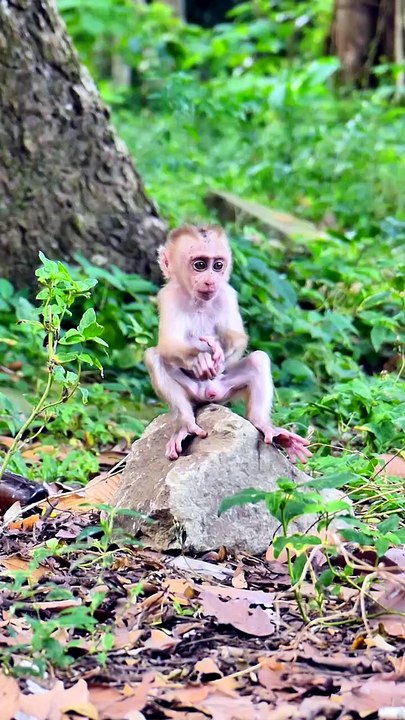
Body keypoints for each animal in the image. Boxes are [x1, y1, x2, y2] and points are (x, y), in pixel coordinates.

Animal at [144, 223, 312, 464]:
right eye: (200, 265)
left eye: (218, 265)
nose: (210, 280)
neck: (198, 302)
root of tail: (208, 393)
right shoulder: (167, 295)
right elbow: (167, 344)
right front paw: (199, 358)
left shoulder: (227, 293)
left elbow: (238, 336)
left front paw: (217, 353)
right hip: (193, 393)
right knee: (154, 356)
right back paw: (185, 423)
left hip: (224, 389)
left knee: (259, 360)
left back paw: (265, 425)